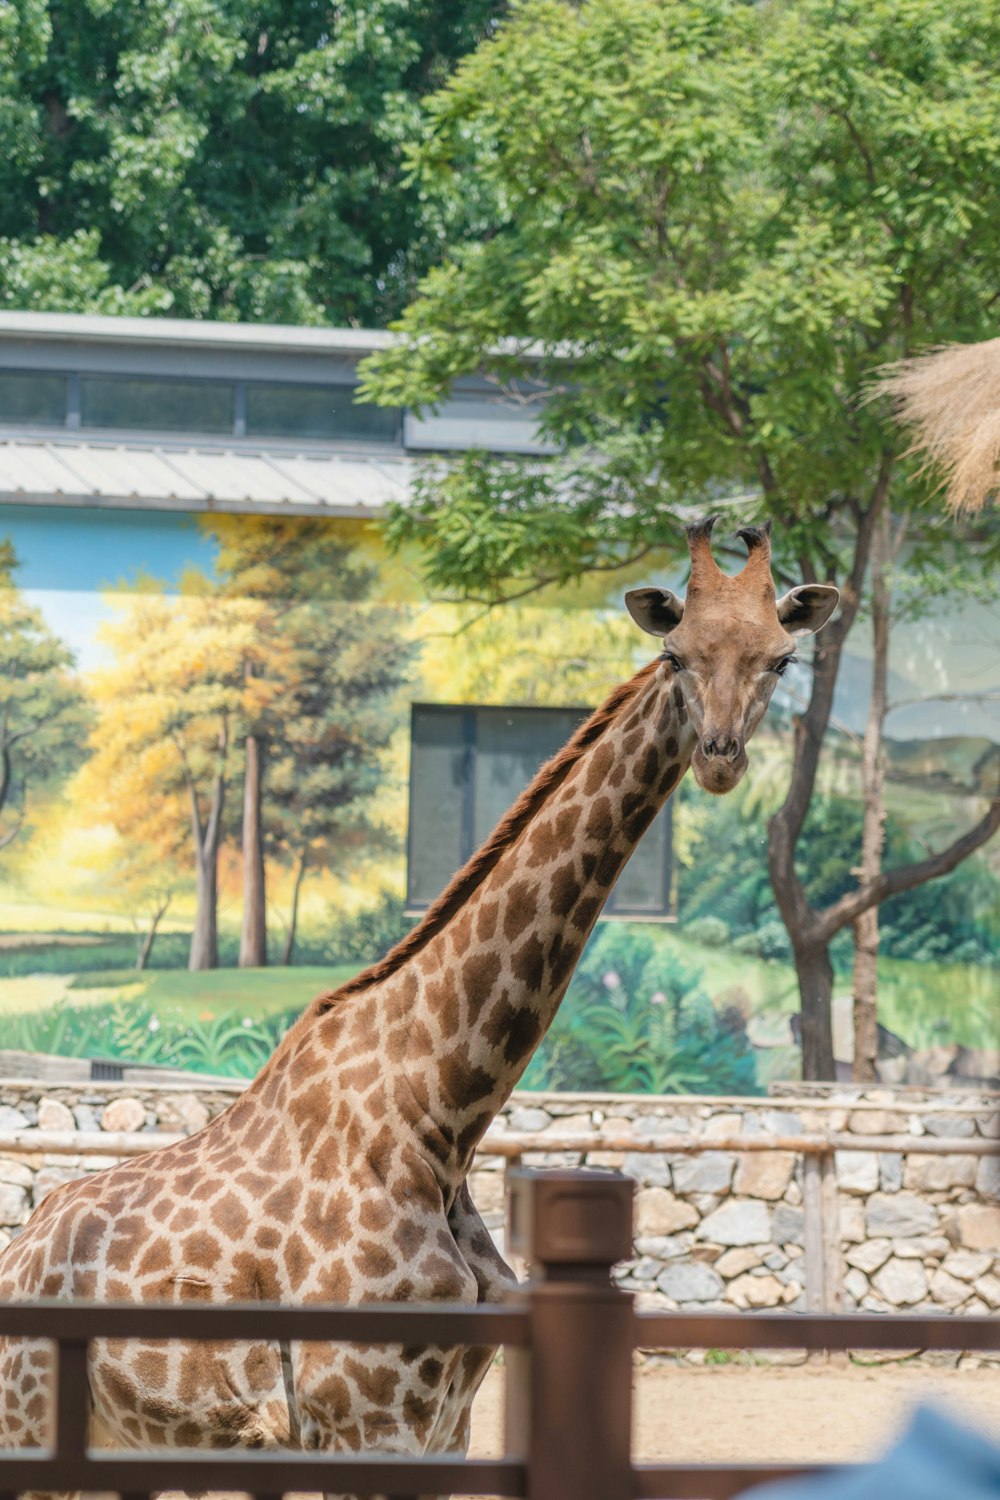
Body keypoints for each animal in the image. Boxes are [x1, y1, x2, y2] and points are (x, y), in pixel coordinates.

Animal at [0, 522, 839, 1482]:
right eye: (674, 653)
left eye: (781, 658)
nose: (720, 758)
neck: (442, 1114)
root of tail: (18, 1250)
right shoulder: (364, 1419)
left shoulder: (444, 1422)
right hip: (30, 1423)